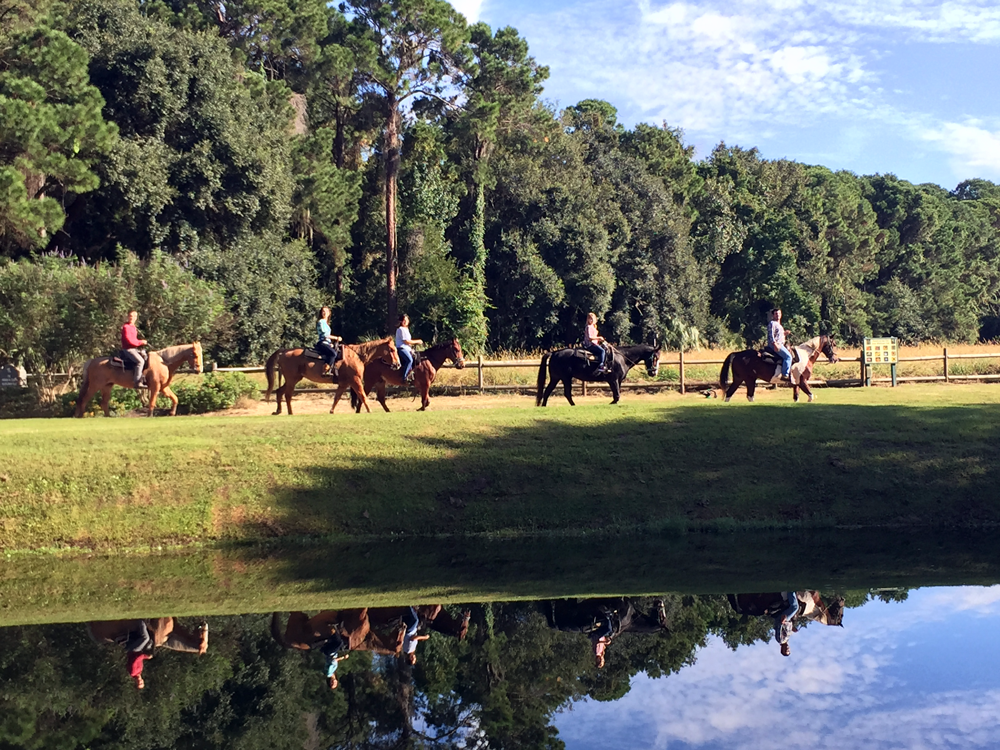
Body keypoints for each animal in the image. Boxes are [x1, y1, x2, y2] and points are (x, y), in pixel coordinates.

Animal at [77, 344, 205, 420]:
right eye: (195, 354)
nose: (199, 370)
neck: (163, 362)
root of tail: (92, 361)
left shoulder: (163, 388)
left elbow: (175, 398)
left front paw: (172, 413)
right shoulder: (155, 387)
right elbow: (152, 401)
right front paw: (150, 415)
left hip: (107, 386)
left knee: (104, 403)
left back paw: (108, 416)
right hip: (95, 385)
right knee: (84, 399)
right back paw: (81, 415)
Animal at [270, 340, 402, 418]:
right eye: (392, 349)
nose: (397, 364)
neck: (356, 356)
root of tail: (283, 352)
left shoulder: (344, 383)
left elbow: (337, 397)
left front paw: (332, 411)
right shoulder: (355, 380)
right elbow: (363, 395)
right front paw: (369, 410)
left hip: (293, 379)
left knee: (279, 391)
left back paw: (278, 411)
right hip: (292, 380)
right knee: (287, 395)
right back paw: (290, 412)